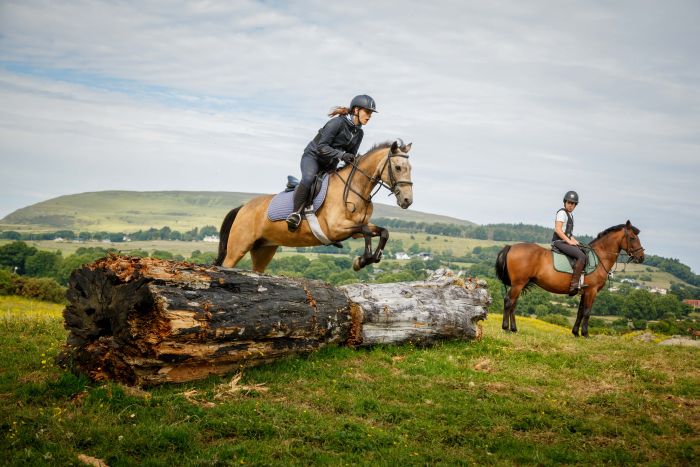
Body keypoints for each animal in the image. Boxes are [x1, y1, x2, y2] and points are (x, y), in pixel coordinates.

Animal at [216, 141, 412, 274]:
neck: (355, 188)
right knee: (227, 264)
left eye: (410, 168)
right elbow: (365, 231)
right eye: (398, 167)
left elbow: (383, 232)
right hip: (238, 247)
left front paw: (371, 258)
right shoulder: (335, 229)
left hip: (264, 249)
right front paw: (362, 260)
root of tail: (242, 208)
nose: (407, 200)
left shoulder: (353, 229)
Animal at [498, 222, 644, 336]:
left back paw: (513, 329)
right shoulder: (592, 291)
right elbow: (587, 312)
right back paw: (505, 328)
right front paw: (585, 334)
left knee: (513, 304)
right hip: (518, 284)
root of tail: (511, 247)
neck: (600, 256)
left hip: (519, 284)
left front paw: (576, 333)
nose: (641, 257)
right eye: (632, 238)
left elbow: (580, 311)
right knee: (509, 301)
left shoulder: (584, 292)